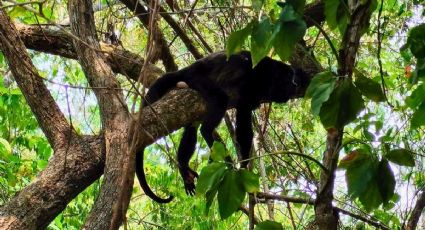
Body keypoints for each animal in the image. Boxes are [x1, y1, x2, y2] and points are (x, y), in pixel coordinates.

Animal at [137, 50, 310, 203]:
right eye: (288, 79)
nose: (294, 84)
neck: (270, 74)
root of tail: (187, 69)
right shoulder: (252, 84)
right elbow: (243, 124)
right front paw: (243, 165)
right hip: (198, 78)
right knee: (219, 100)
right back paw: (211, 139)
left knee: (191, 128)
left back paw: (184, 169)